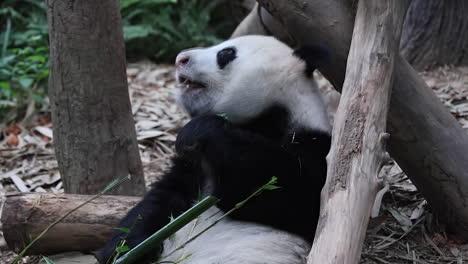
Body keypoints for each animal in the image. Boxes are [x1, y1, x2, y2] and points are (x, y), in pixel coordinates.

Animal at [97, 35, 332, 264]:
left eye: (226, 53)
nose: (180, 59)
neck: (267, 119)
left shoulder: (314, 146)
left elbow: (289, 188)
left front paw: (200, 130)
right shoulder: (192, 167)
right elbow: (160, 200)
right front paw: (124, 250)